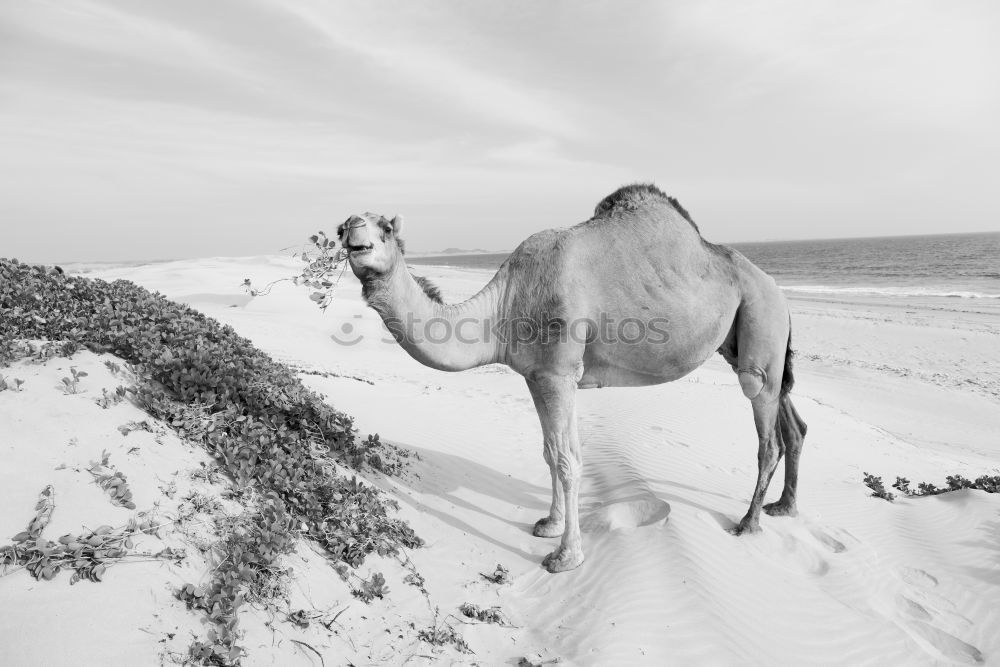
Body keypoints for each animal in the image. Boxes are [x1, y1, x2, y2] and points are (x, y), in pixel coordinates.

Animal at [340, 184, 808, 576]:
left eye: (384, 228)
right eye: (345, 226)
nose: (350, 228)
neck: (504, 304)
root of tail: (778, 291)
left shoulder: (558, 372)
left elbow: (569, 461)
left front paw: (565, 556)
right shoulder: (535, 375)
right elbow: (550, 452)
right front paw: (549, 523)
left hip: (761, 317)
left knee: (766, 427)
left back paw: (747, 522)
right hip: (750, 338)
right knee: (792, 419)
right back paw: (784, 507)